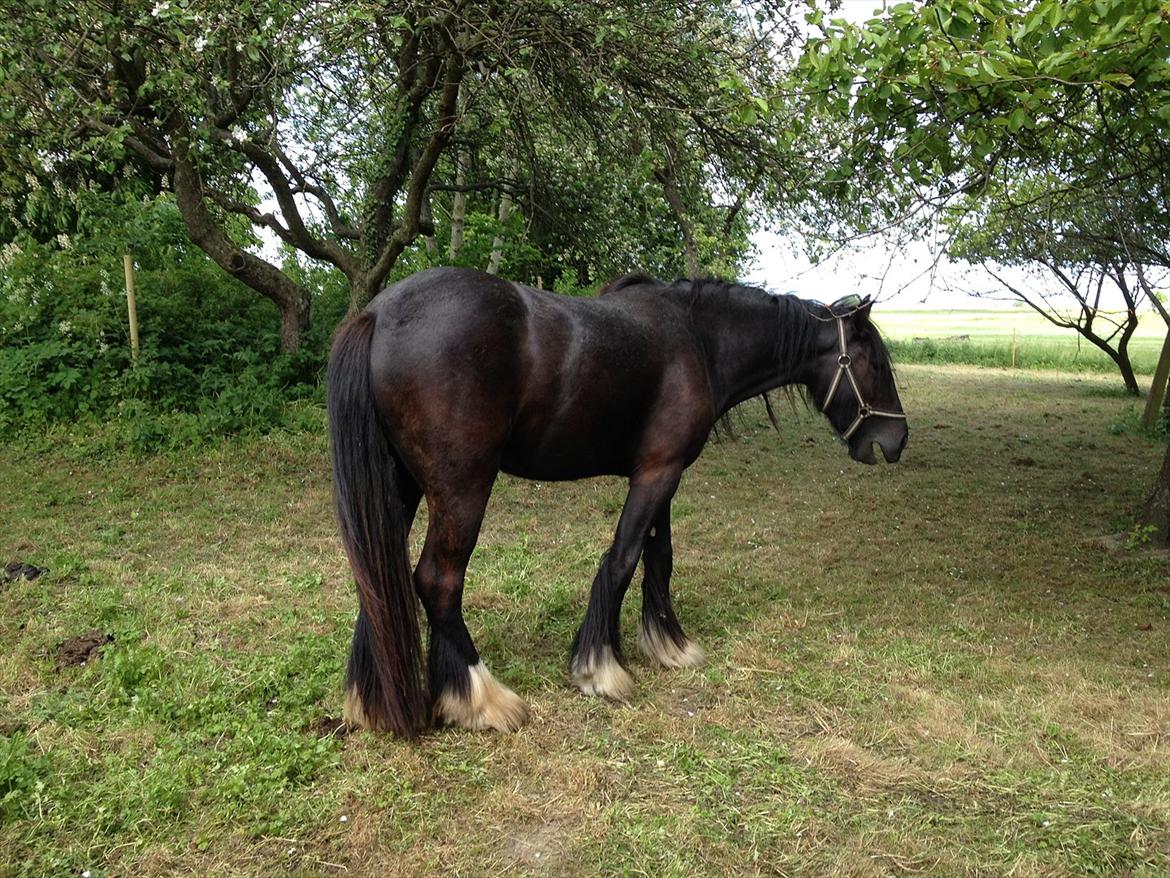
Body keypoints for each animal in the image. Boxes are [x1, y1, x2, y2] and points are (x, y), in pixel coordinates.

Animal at [325, 264, 907, 739]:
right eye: (873, 363)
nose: (896, 440)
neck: (699, 339)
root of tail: (378, 313)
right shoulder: (656, 475)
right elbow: (623, 559)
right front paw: (600, 669)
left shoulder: (663, 474)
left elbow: (659, 558)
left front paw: (669, 644)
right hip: (461, 488)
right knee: (436, 582)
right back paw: (483, 700)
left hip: (400, 485)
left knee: (380, 576)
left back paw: (373, 702)